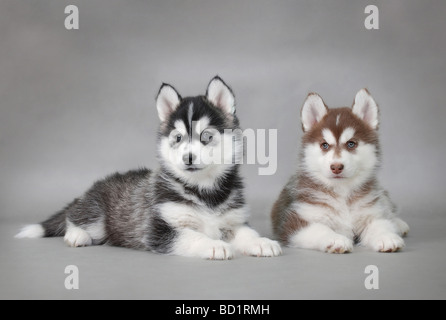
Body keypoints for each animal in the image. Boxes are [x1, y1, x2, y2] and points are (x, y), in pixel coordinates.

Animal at [18, 76, 282, 258]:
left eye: (206, 136)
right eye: (177, 138)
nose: (188, 157)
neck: (204, 191)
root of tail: (90, 189)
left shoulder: (233, 221)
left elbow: (247, 232)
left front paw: (262, 242)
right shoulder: (159, 230)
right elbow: (193, 236)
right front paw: (215, 245)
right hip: (96, 214)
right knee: (74, 218)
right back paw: (76, 235)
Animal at [270, 89, 410, 254]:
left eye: (351, 144)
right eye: (324, 145)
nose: (336, 167)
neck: (342, 193)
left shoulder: (371, 211)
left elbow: (380, 223)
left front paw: (386, 237)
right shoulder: (294, 223)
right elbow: (320, 229)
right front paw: (335, 239)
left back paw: (399, 224)